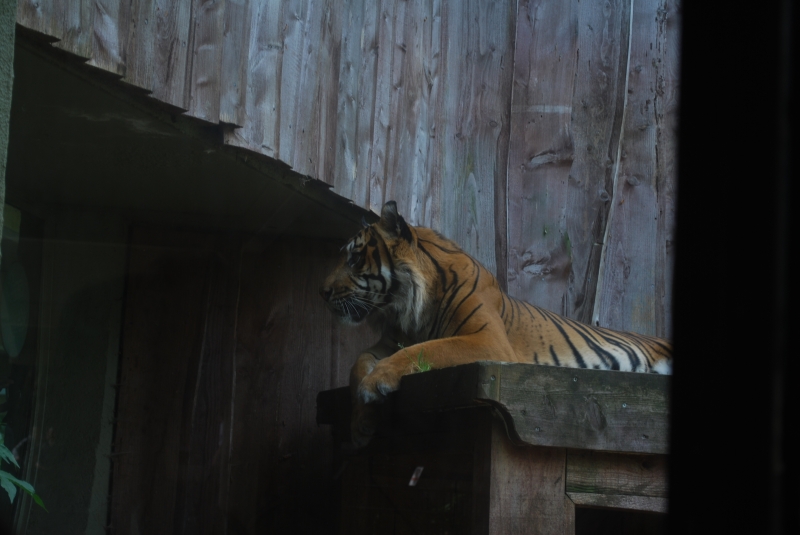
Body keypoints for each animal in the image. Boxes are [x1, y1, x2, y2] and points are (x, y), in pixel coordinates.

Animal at [322, 201, 672, 448]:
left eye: (354, 259)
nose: (322, 292)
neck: (409, 309)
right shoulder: (387, 343)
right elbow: (358, 362)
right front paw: (360, 424)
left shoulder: (486, 339)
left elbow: (429, 349)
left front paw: (376, 383)